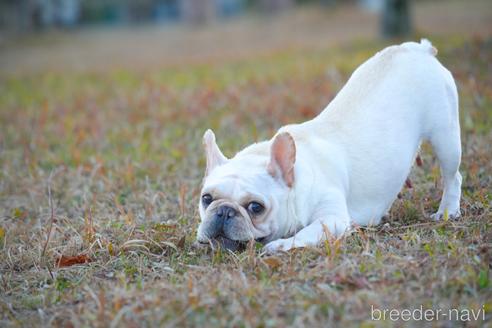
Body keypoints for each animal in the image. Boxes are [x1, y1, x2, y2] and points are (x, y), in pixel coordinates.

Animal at [196, 39, 462, 252]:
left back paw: (447, 211)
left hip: (446, 138)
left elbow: (305, 233)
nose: (224, 211)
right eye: (206, 199)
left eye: (255, 207)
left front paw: (281, 245)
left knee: (453, 177)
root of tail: (419, 49)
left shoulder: (333, 219)